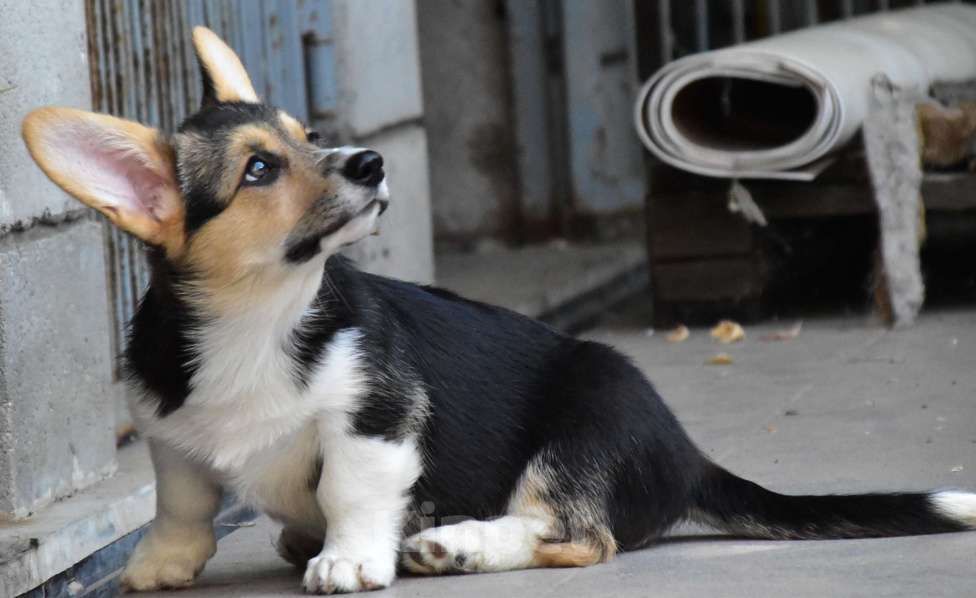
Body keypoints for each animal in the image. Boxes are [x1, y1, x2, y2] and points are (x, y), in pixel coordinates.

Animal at [19, 27, 972, 596]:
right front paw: (163, 562)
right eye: (261, 168)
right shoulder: (168, 429)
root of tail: (686, 454)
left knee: (581, 534)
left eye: (307, 136)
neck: (259, 317)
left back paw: (458, 544)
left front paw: (349, 557)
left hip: (586, 422)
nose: (370, 162)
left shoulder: (375, 417)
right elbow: (182, 496)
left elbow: (352, 487)